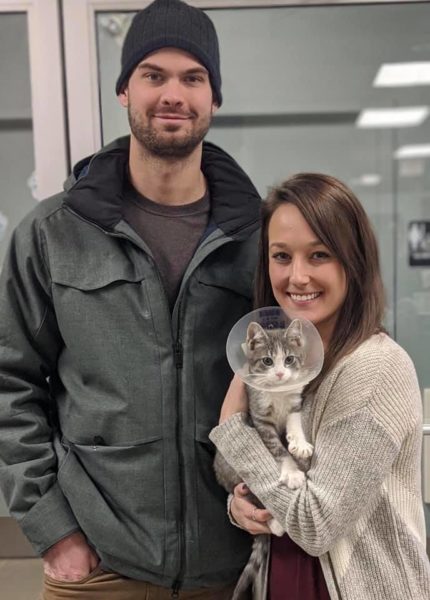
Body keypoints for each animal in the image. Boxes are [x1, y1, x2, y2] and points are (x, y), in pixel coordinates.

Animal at [214, 318, 312, 600]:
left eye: (288, 359)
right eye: (268, 361)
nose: (279, 374)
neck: (278, 393)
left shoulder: (294, 402)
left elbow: (294, 420)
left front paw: (299, 444)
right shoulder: (259, 418)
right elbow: (276, 448)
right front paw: (292, 472)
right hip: (231, 468)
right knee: (255, 495)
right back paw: (276, 523)